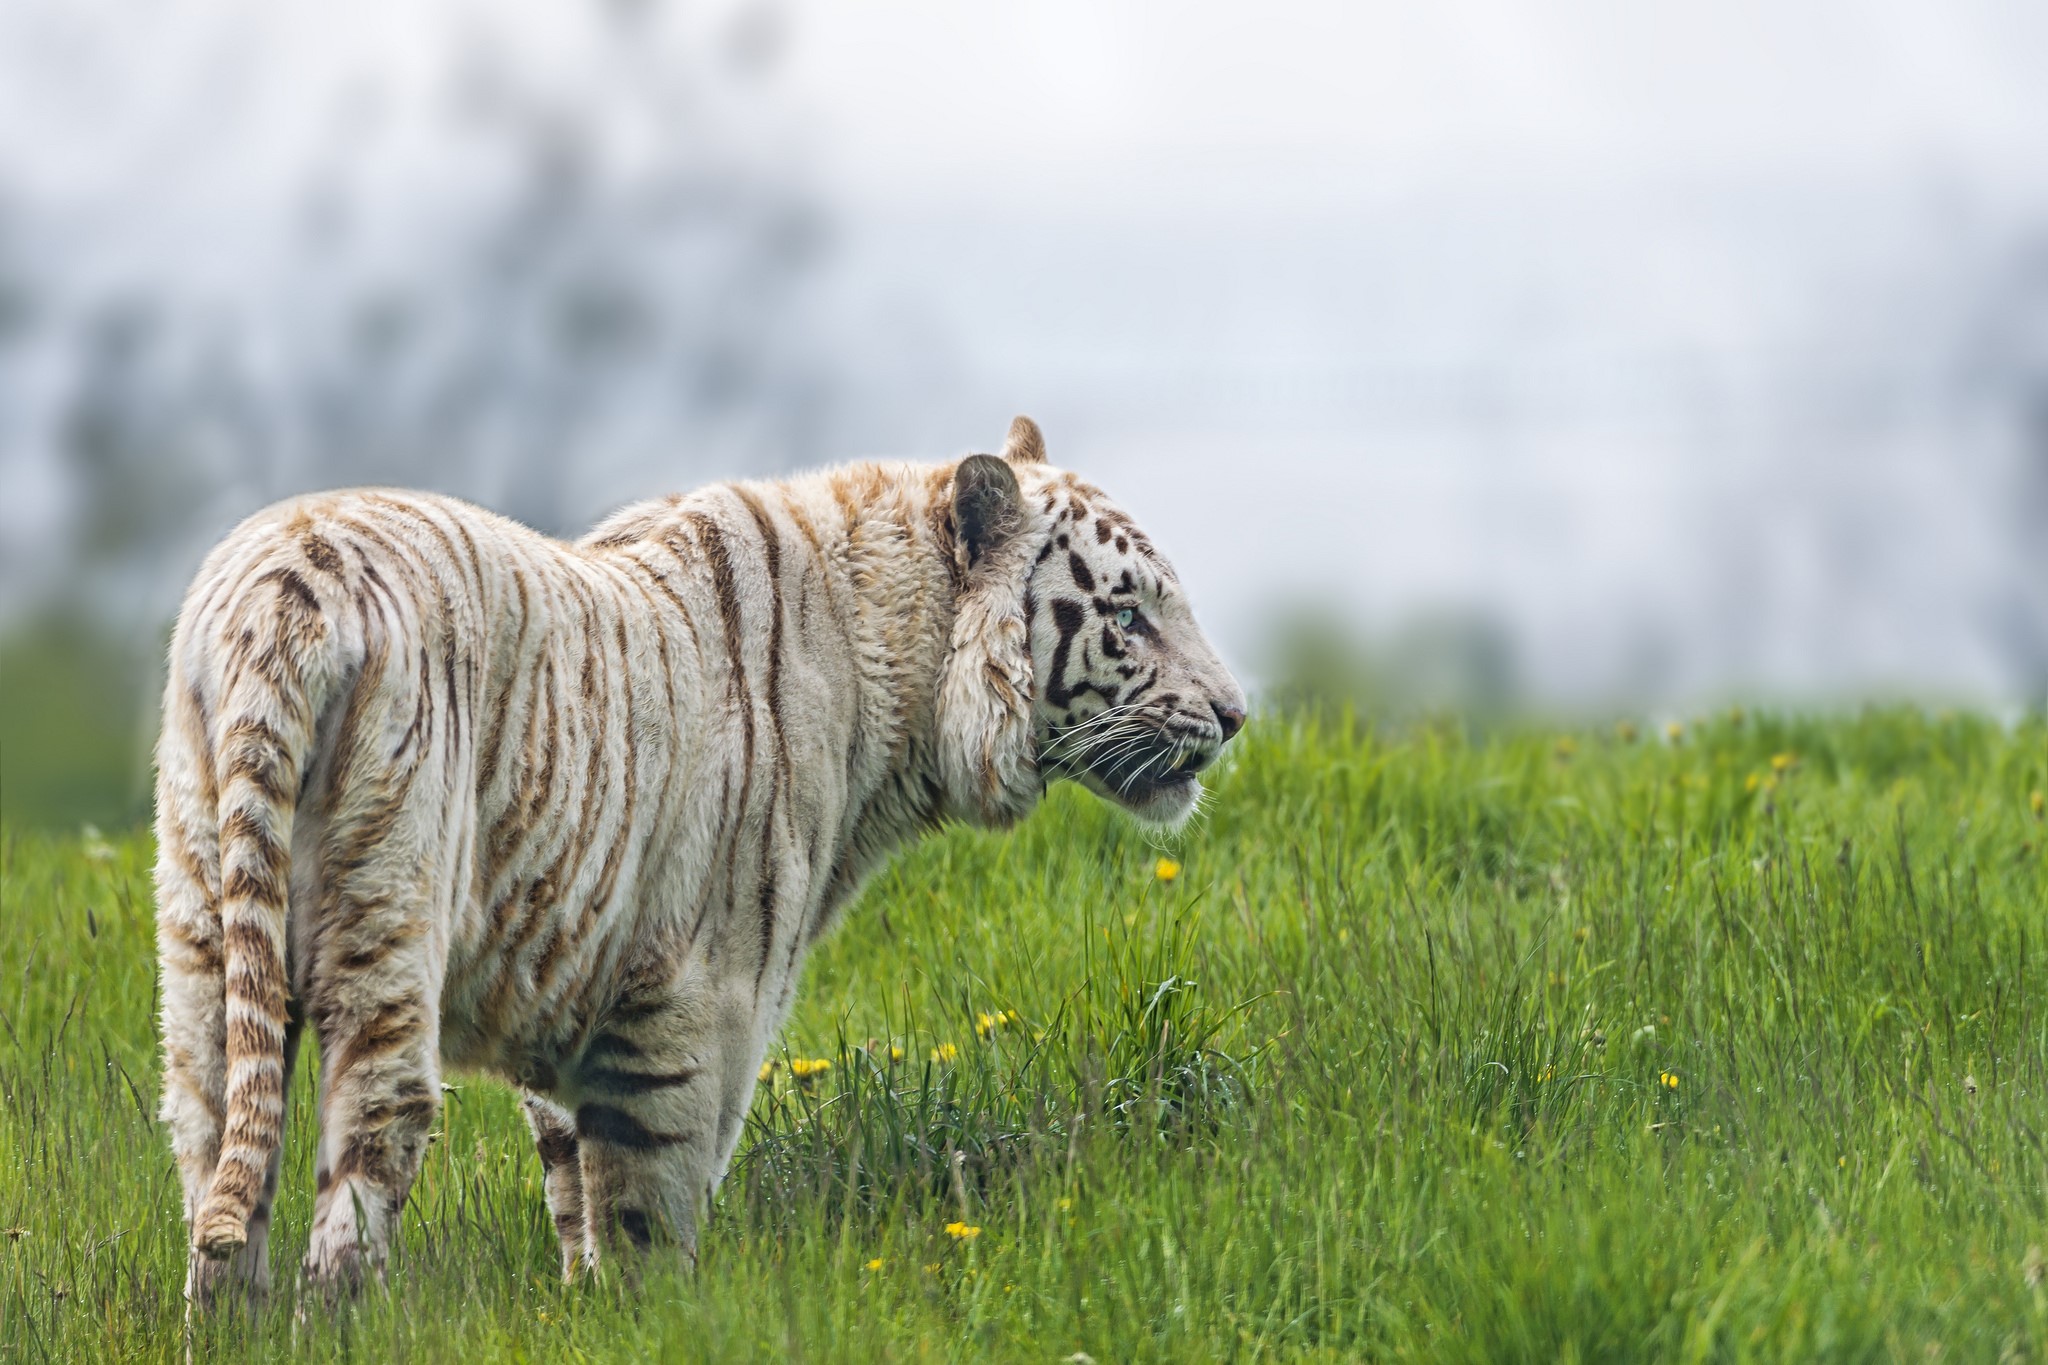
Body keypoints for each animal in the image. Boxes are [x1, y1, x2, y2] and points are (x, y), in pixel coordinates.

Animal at [153, 415, 1246, 1304]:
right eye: (1127, 615)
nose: (1235, 716)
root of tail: (283, 588)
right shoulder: (699, 996)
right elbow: (654, 1195)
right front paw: (653, 1314)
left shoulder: (575, 967)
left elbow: (573, 1186)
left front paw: (582, 1303)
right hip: (386, 917)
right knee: (366, 1155)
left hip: (206, 948)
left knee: (218, 1169)